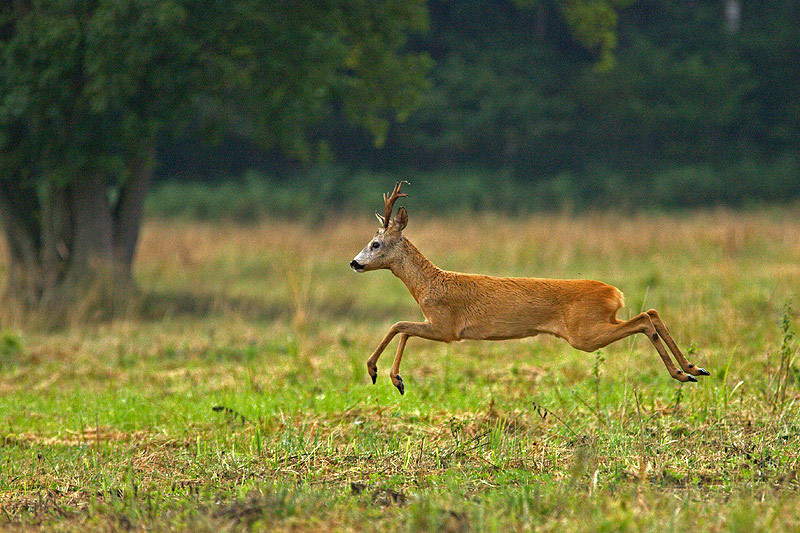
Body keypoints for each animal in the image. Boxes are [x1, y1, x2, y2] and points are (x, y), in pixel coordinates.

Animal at [346, 183, 708, 394]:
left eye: (375, 244)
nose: (354, 263)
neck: (428, 284)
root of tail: (614, 292)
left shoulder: (446, 326)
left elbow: (399, 326)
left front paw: (384, 374)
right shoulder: (439, 325)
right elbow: (401, 328)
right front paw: (390, 377)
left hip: (585, 333)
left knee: (645, 319)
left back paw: (685, 373)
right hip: (598, 324)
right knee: (652, 312)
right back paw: (693, 369)